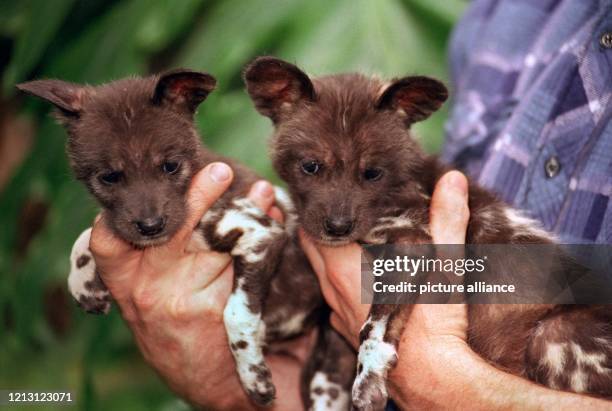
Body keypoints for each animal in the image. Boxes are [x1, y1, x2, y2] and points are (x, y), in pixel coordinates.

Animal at [243, 57, 612, 411]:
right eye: (310, 166)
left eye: (372, 173)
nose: (337, 226)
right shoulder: (328, 332)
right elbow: (324, 381)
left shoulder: (413, 242)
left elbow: (374, 326)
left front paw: (370, 381)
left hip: (553, 335)